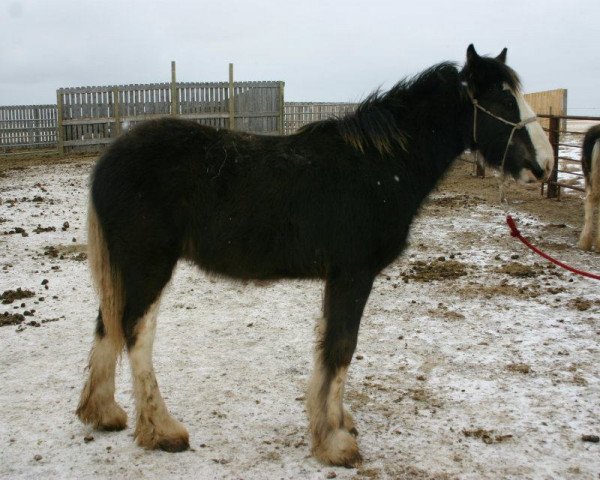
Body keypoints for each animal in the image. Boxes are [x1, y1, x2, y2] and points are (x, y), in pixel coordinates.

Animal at [78, 44, 552, 464]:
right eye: (502, 98)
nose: (544, 164)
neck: (380, 167)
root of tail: (109, 160)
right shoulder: (354, 274)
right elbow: (342, 346)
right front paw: (335, 443)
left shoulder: (339, 277)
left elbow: (330, 345)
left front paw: (337, 422)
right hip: (148, 265)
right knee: (137, 334)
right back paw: (162, 431)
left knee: (107, 325)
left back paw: (104, 414)